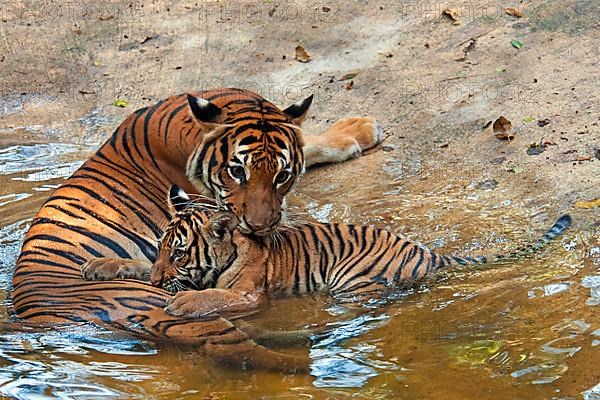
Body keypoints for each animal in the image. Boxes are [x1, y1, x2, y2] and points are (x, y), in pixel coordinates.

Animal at [10, 89, 380, 370]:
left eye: (282, 175)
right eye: (236, 171)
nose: (259, 227)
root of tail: (39, 320)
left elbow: (307, 141)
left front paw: (358, 128)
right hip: (163, 304)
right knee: (234, 342)